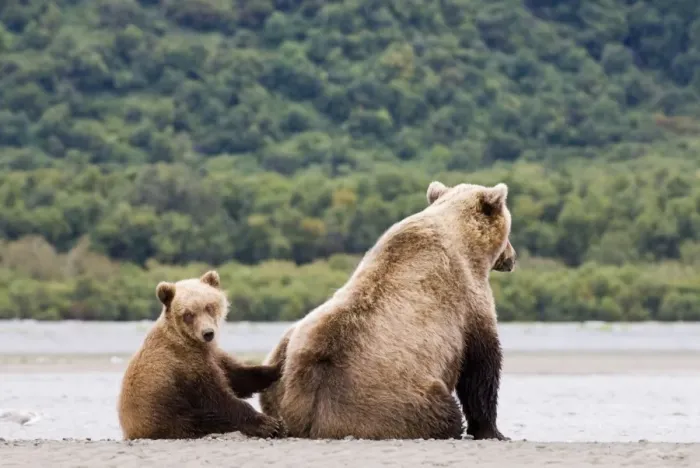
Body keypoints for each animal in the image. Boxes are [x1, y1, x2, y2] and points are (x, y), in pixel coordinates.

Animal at [118, 270, 287, 440]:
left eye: (209, 306)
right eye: (188, 314)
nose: (208, 333)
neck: (191, 342)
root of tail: (127, 431)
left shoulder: (213, 356)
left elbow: (238, 377)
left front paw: (278, 366)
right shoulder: (186, 367)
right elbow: (218, 398)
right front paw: (269, 424)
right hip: (164, 417)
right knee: (204, 420)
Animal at [258, 180, 516, 441]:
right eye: (508, 234)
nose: (512, 258)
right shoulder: (467, 300)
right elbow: (481, 367)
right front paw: (493, 431)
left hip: (279, 369)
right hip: (394, 400)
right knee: (444, 413)